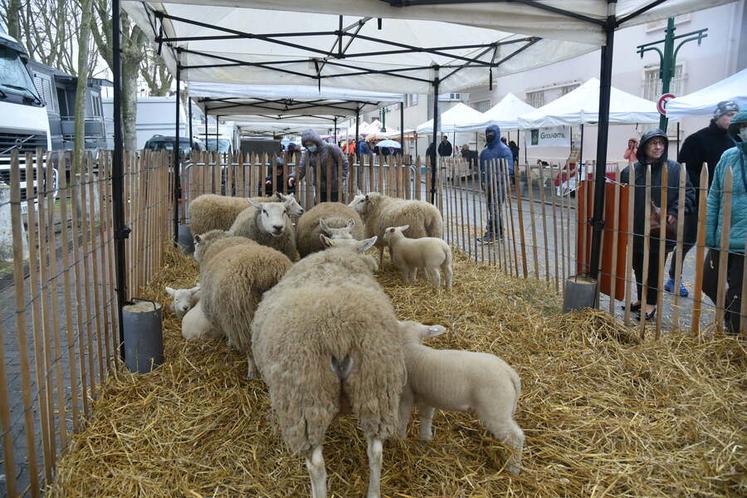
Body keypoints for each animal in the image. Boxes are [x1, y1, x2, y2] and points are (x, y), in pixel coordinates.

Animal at [200, 242, 294, 378]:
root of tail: (265, 273)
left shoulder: (229, 318)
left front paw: (230, 343)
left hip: (242, 320)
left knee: (250, 351)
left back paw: (252, 372)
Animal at [250, 237, 404, 498]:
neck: (338, 256)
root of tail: (338, 332)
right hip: (375, 385)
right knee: (375, 450)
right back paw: (373, 491)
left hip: (305, 396)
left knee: (316, 465)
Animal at [398, 320, 524, 476]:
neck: (411, 346)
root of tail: (510, 373)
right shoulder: (428, 398)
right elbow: (426, 418)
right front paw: (425, 439)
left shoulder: (406, 396)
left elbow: (403, 419)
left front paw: (400, 441)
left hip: (496, 409)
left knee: (516, 437)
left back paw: (514, 468)